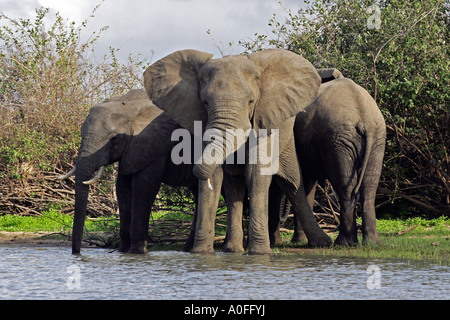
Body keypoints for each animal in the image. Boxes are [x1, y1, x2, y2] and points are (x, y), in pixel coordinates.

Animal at [59, 89, 212, 252]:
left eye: (114, 139)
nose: (77, 253)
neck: (129, 108)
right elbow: (122, 189)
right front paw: (123, 252)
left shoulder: (154, 143)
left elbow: (143, 188)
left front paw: (137, 252)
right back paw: (187, 249)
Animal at [144, 48, 334, 254]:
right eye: (205, 102)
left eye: (251, 101)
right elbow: (218, 175)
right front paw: (202, 253)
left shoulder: (263, 120)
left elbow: (256, 172)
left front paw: (260, 253)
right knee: (234, 183)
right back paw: (233, 249)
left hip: (286, 137)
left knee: (291, 183)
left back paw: (322, 243)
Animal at [268, 69, 384, 245]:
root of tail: (364, 116)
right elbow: (306, 183)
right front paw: (299, 242)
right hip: (370, 138)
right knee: (369, 185)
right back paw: (371, 242)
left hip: (339, 140)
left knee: (346, 187)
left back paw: (344, 243)